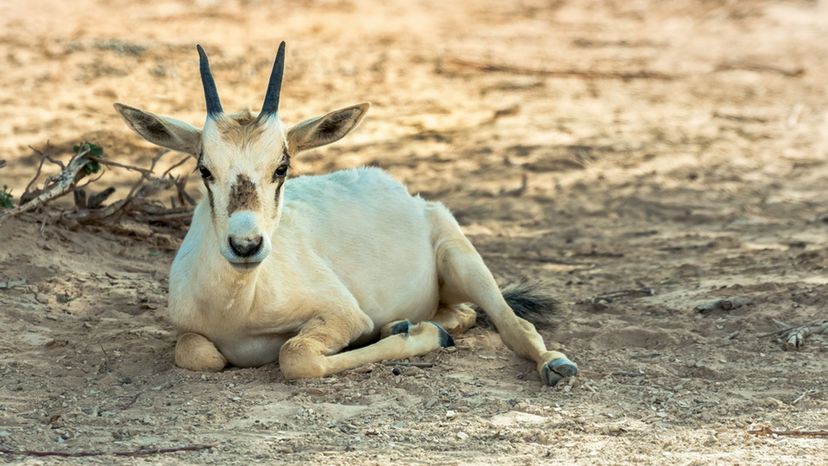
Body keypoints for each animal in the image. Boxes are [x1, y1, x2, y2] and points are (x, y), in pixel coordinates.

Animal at [113, 42, 580, 386]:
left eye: (281, 167)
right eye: (204, 169)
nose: (246, 245)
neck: (238, 307)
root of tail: (408, 197)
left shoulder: (344, 315)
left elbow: (295, 355)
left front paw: (418, 336)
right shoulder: (189, 331)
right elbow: (197, 353)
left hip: (461, 258)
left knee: (514, 324)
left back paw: (554, 364)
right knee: (462, 314)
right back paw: (407, 325)